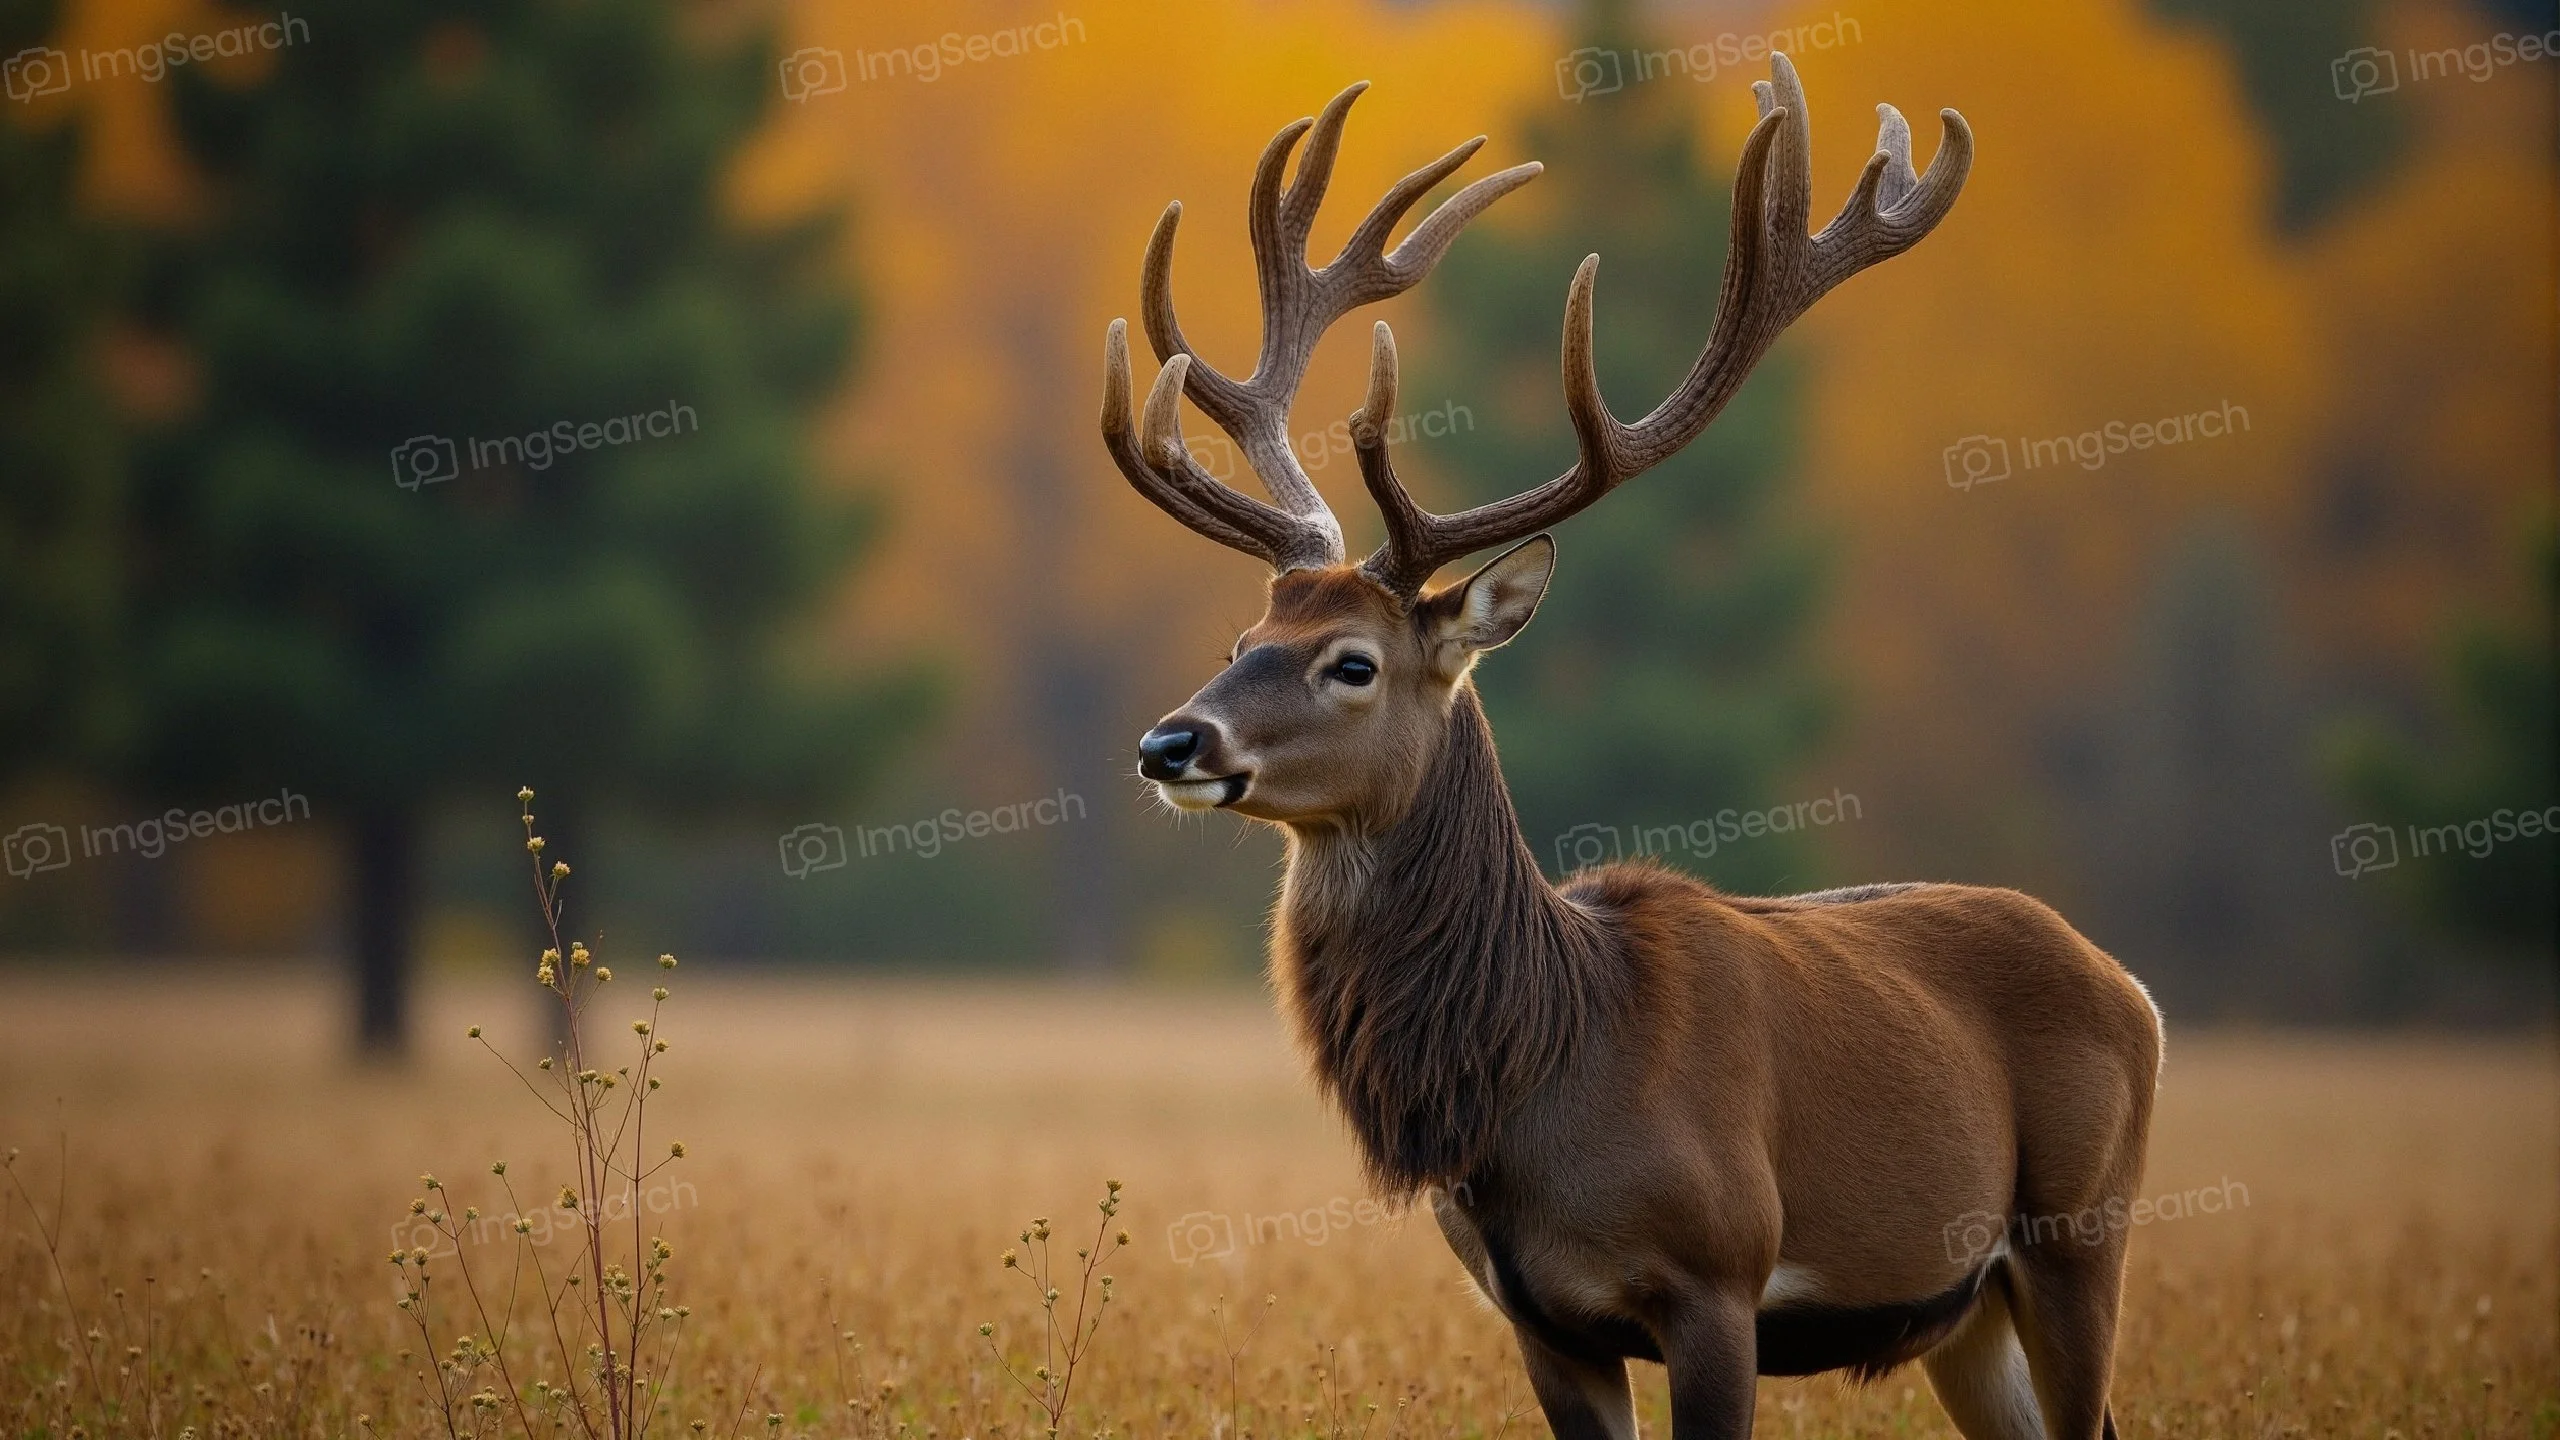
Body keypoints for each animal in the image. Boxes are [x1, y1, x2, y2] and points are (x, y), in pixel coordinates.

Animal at [1099, 56, 2163, 1440]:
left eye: (1353, 662)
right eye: (1246, 633)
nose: (1169, 740)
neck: (1540, 1075)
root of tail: (2131, 986)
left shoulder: (1720, 1275)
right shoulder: (1536, 1315)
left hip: (2081, 1225)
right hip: (1962, 1306)